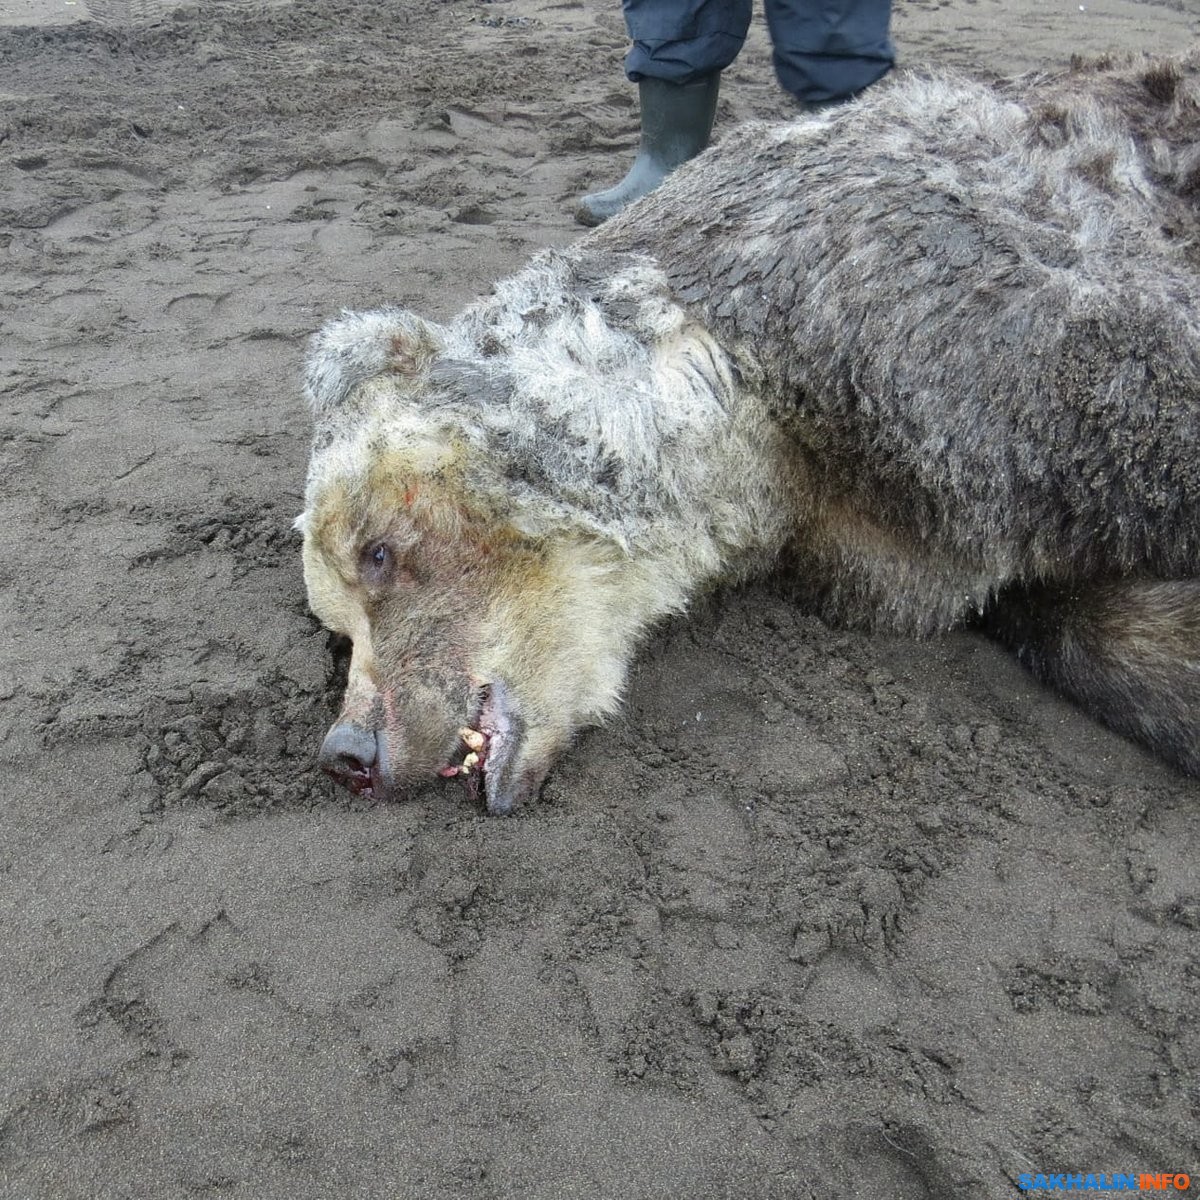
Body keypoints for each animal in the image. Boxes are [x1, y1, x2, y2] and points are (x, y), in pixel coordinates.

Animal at [297, 51, 1200, 811]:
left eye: (379, 554)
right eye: (335, 624)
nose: (348, 751)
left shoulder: (949, 328)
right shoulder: (886, 533)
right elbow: (1070, 617)